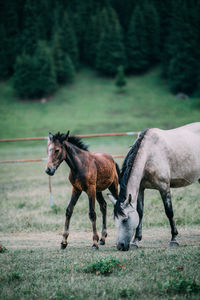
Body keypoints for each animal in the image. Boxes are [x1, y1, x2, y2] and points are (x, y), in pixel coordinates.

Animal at [108, 122, 200, 251]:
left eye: (125, 219)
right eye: (115, 220)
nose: (120, 246)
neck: (149, 154)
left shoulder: (164, 188)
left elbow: (169, 212)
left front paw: (174, 239)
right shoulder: (141, 189)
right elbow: (140, 212)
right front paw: (136, 241)